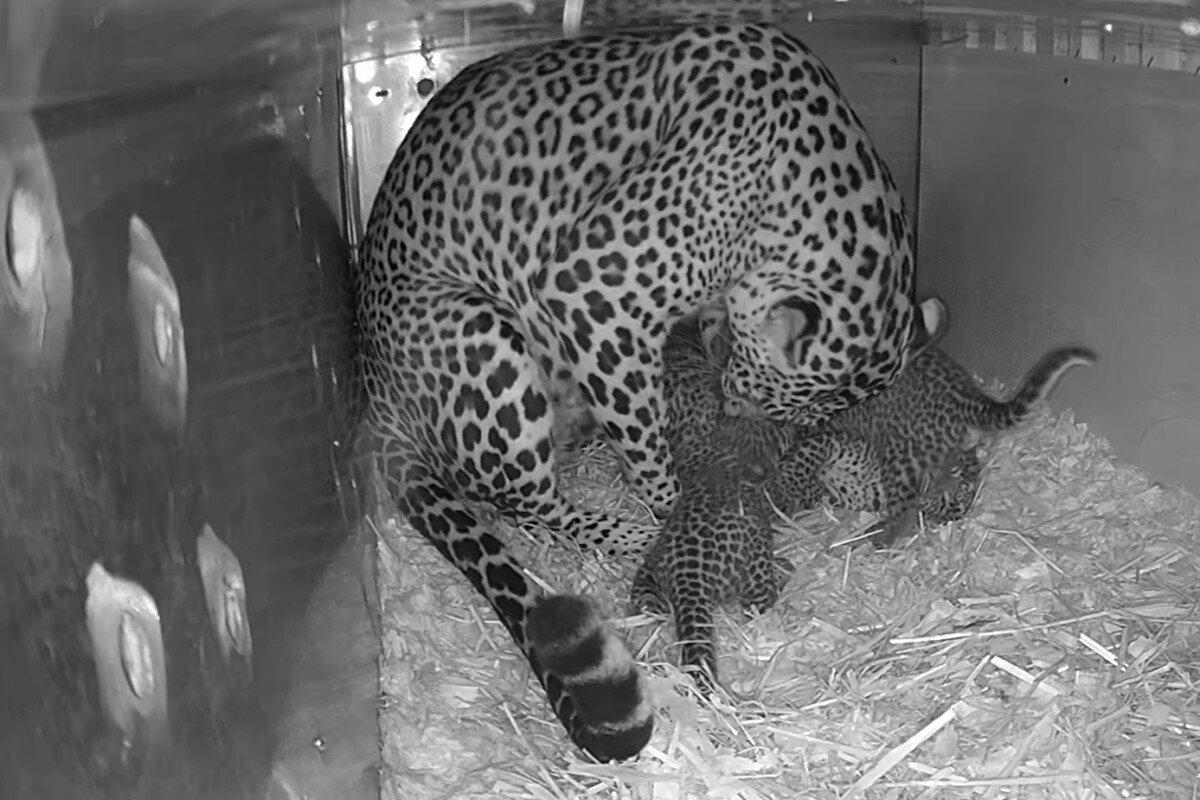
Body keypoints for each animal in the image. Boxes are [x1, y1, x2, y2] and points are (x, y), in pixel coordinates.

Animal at [354, 22, 931, 761]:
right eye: (748, 395)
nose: (736, 417)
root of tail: (374, 391)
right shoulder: (590, 293)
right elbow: (644, 438)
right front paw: (673, 511)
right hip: (482, 338)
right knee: (522, 501)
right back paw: (628, 531)